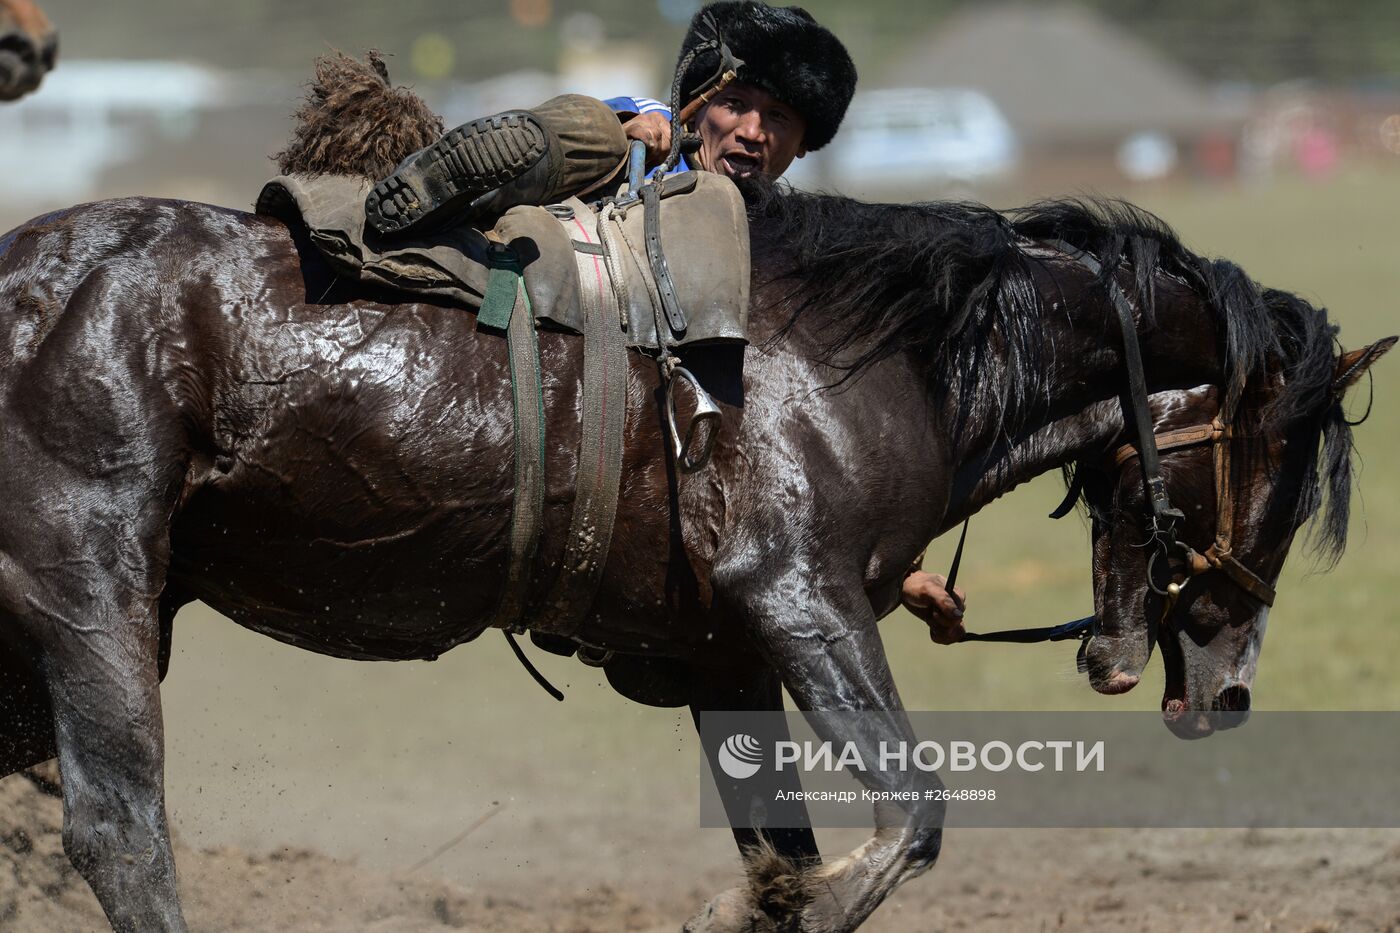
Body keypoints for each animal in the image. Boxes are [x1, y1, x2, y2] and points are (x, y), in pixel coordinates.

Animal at [0, 91, 1388, 924]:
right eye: (1274, 472)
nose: (1227, 694)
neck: (884, 348)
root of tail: (28, 277)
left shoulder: (727, 659)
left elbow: (792, 842)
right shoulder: (800, 605)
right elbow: (906, 821)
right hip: (93, 598)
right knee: (121, 834)